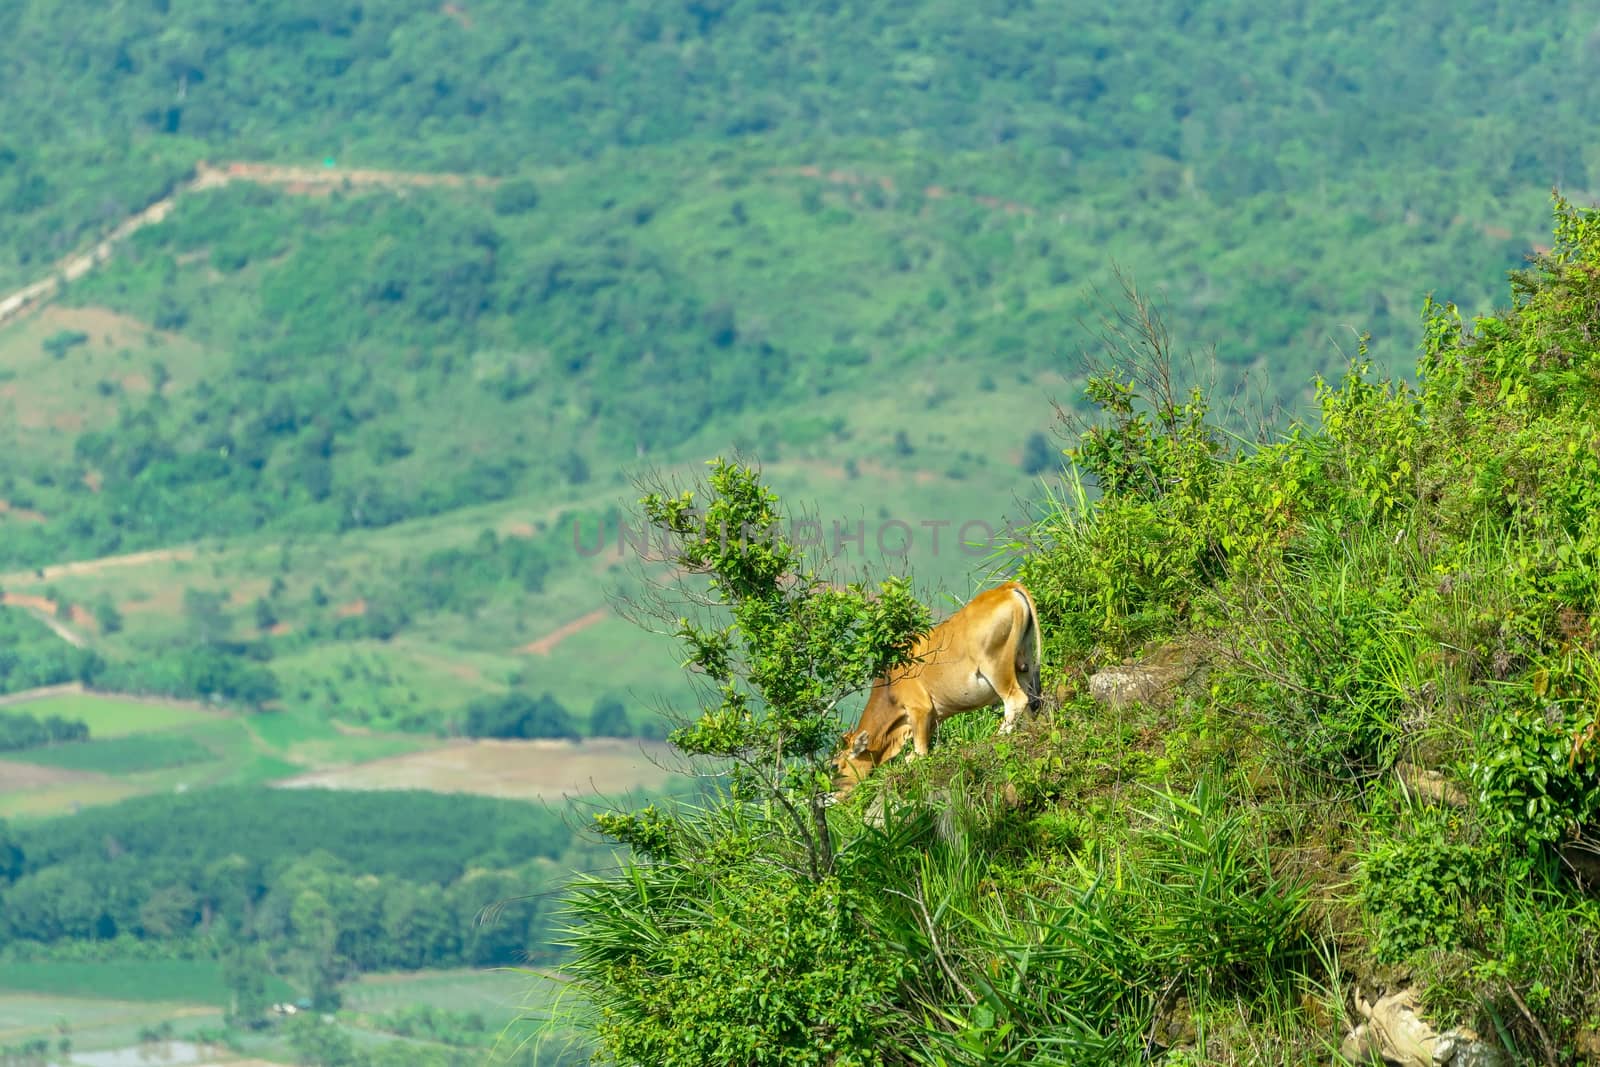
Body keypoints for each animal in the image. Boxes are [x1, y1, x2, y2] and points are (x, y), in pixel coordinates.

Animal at [832, 585, 1043, 799]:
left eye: (836, 766)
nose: (834, 796)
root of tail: (1005, 588)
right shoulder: (932, 715)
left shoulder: (919, 708)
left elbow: (920, 750)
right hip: (1024, 662)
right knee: (1030, 701)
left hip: (997, 667)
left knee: (1015, 699)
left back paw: (999, 735)